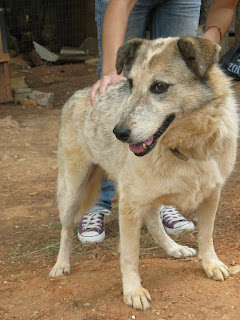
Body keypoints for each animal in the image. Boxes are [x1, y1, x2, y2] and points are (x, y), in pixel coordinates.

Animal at [49, 37, 239, 310]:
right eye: (130, 84)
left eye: (159, 87)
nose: (118, 133)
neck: (187, 147)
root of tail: (79, 93)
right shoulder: (130, 204)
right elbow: (130, 254)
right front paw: (133, 290)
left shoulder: (211, 194)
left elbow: (206, 235)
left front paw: (210, 263)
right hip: (73, 190)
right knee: (65, 229)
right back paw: (61, 264)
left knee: (154, 221)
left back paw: (173, 248)